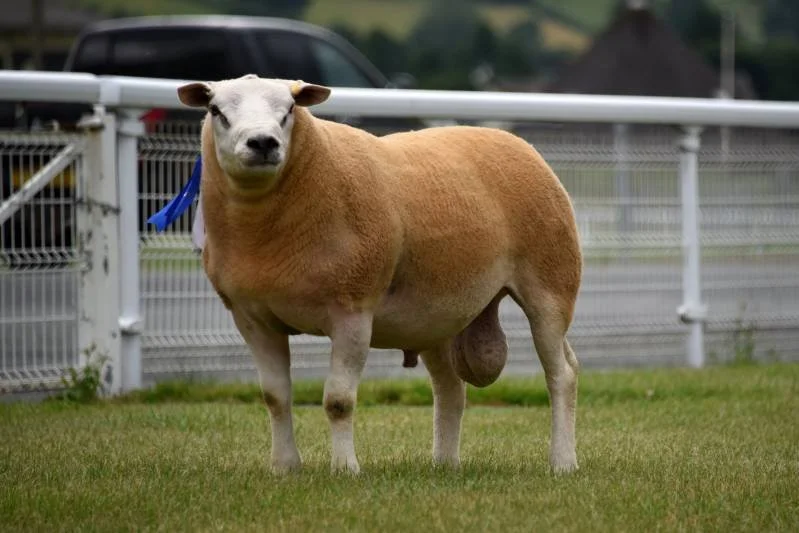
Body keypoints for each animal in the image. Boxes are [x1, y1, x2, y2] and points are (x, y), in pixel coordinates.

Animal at [176, 74, 583, 475]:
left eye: (289, 109)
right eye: (216, 110)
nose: (262, 143)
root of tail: (513, 139)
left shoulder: (353, 312)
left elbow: (338, 400)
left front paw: (345, 469)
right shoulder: (253, 319)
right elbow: (275, 397)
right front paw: (284, 468)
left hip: (551, 283)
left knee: (561, 374)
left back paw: (562, 462)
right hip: (436, 314)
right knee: (450, 388)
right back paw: (444, 466)